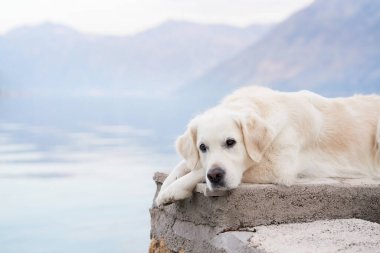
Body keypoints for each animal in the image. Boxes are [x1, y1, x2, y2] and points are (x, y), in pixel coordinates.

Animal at [154, 86, 380, 207]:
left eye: (230, 142)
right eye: (202, 147)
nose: (215, 176)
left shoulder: (278, 166)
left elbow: (200, 170)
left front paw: (171, 191)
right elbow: (187, 164)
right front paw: (167, 184)